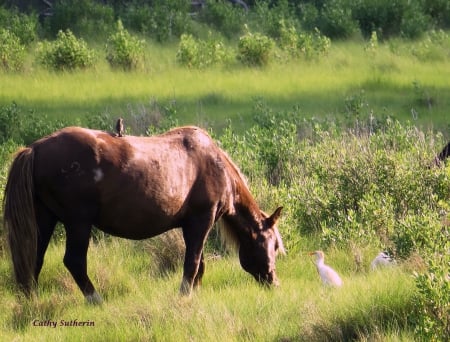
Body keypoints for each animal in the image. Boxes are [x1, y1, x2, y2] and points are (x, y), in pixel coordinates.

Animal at [3, 125, 284, 302]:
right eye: (272, 245)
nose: (274, 282)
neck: (215, 164)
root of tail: (35, 148)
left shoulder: (190, 226)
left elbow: (199, 263)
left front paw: (194, 293)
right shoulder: (201, 220)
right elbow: (192, 263)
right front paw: (185, 295)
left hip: (45, 219)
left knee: (33, 258)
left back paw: (30, 302)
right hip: (78, 223)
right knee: (74, 261)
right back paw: (96, 299)